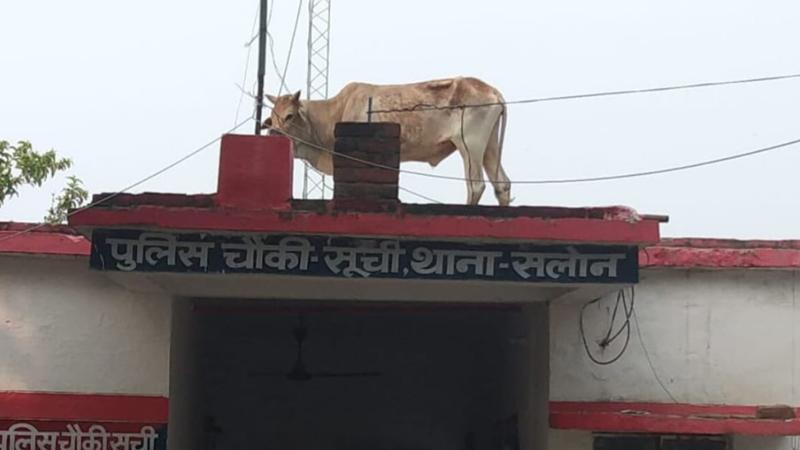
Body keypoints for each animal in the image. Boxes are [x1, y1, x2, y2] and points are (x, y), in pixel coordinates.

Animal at [262, 77, 512, 206]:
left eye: (289, 116)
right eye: (272, 117)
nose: (274, 134)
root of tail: (493, 92)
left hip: (469, 144)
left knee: (476, 184)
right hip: (489, 146)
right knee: (502, 184)